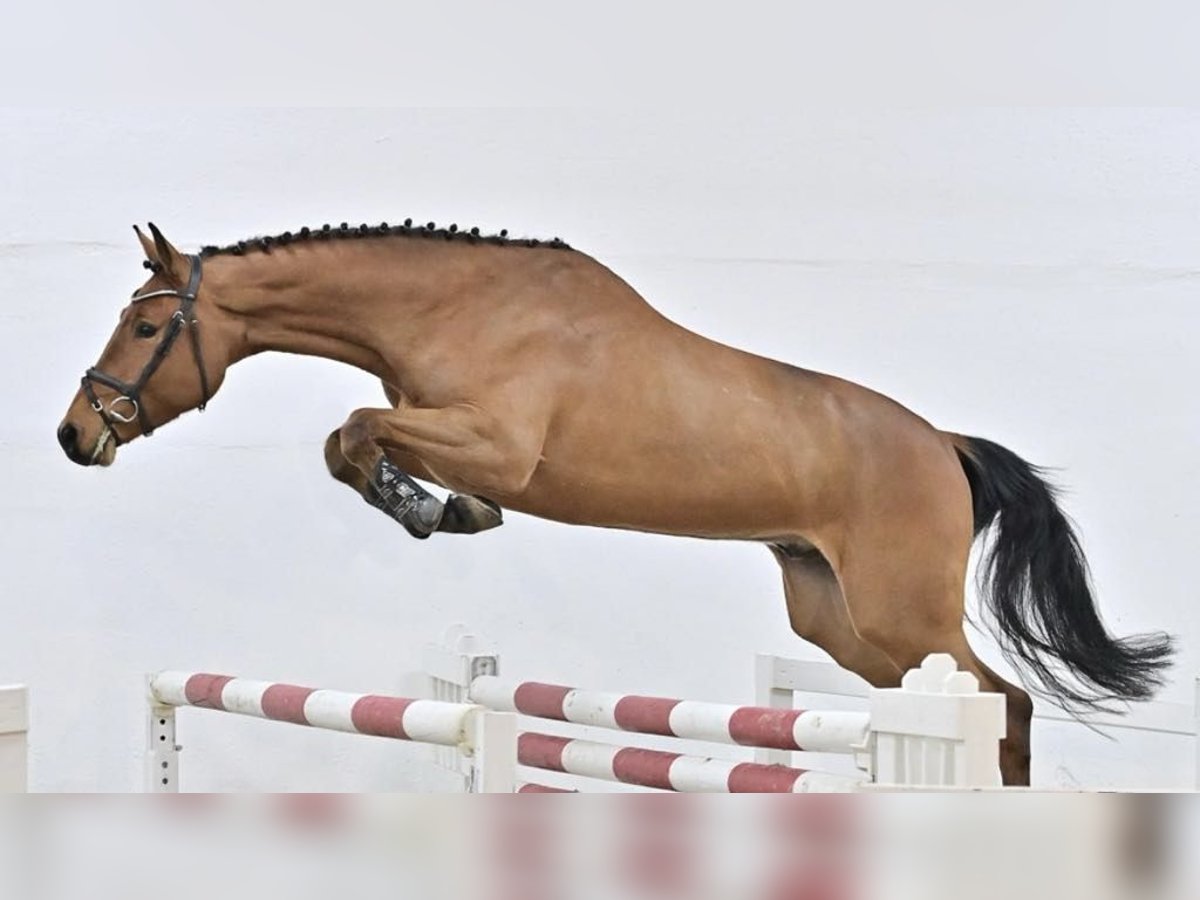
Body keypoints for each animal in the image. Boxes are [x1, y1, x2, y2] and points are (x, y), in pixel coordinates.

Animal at [56, 220, 1174, 786]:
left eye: (147, 326)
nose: (75, 434)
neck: (457, 306)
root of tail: (944, 446)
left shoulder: (499, 446)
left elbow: (357, 430)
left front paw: (432, 509)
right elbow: (350, 439)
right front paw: (438, 511)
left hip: (904, 614)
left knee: (1001, 701)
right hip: (838, 618)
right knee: (984, 698)